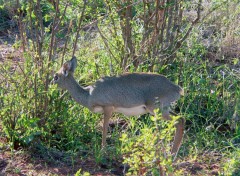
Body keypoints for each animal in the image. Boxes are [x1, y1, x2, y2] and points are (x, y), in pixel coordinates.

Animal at [52, 57, 184, 157]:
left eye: (56, 76)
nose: (50, 85)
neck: (89, 94)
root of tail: (177, 88)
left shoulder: (108, 108)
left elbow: (104, 129)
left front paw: (102, 150)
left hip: (156, 110)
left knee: (179, 121)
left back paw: (171, 155)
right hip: (162, 110)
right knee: (181, 119)